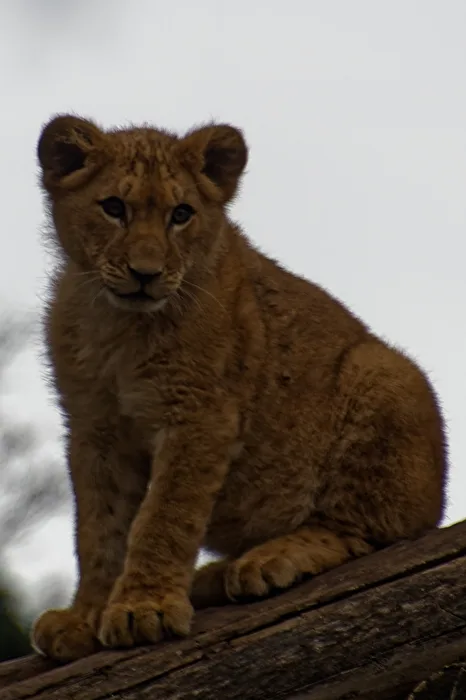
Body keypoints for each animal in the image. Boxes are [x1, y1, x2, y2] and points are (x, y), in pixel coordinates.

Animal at [31, 114, 447, 662]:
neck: (119, 324)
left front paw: (145, 609)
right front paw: (85, 617)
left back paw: (263, 562)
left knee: (365, 532)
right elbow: (100, 529)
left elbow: (164, 517)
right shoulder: (92, 427)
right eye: (114, 208)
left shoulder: (200, 413)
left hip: (384, 373)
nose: (146, 274)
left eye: (181, 214)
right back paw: (214, 577)